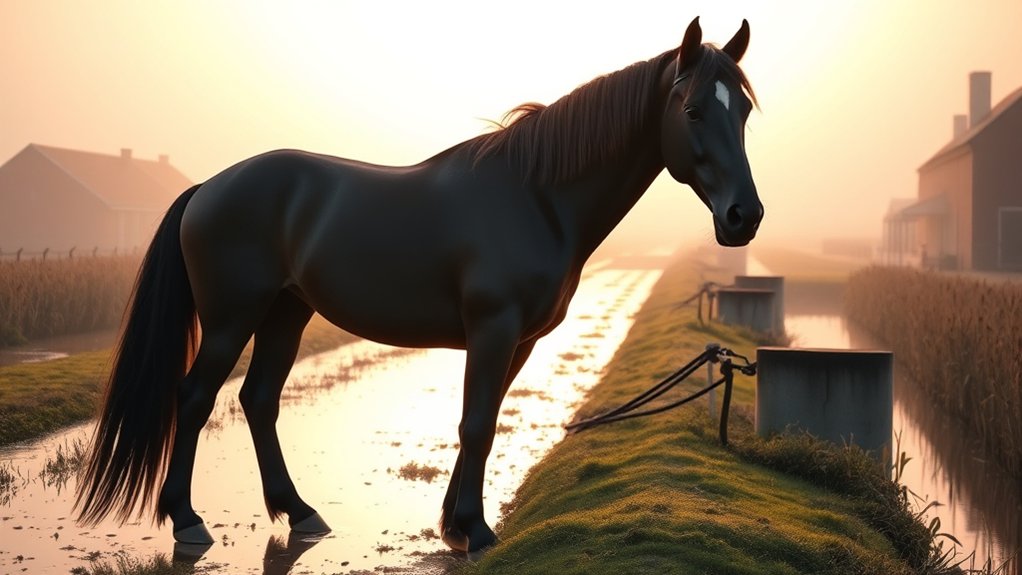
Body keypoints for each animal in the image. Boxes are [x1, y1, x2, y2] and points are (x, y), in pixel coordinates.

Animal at [75, 16, 762, 558]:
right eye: (693, 110)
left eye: (745, 110)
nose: (743, 217)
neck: (537, 198)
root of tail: (208, 188)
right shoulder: (493, 329)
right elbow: (477, 423)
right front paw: (475, 531)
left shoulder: (519, 342)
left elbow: (482, 418)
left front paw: (454, 526)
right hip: (229, 319)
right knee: (194, 399)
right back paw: (187, 522)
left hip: (286, 313)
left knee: (259, 401)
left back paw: (301, 513)